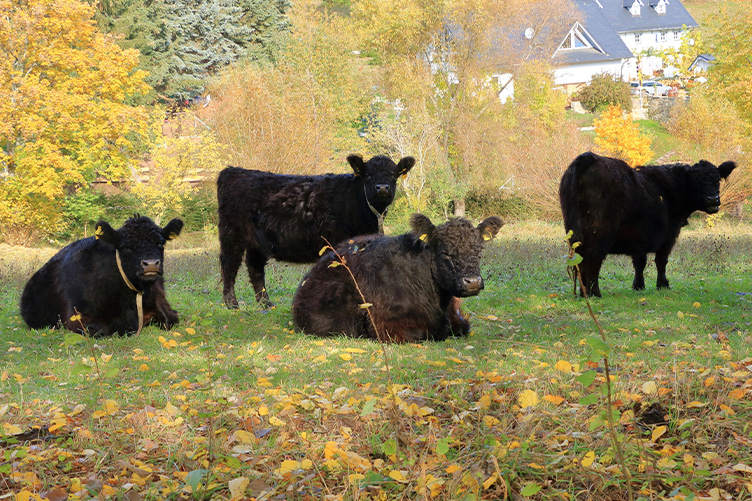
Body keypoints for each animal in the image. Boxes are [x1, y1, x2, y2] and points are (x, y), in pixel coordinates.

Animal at [20, 215, 183, 337]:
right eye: (125, 247)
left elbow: (170, 319)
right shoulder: (76, 318)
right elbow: (101, 330)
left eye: (161, 243)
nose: (150, 264)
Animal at [216, 154, 415, 308]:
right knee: (229, 265)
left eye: (393, 174)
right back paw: (231, 303)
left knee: (255, 267)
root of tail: (234, 171)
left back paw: (265, 303)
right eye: (368, 174)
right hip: (231, 235)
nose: (382, 188)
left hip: (257, 241)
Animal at [559, 151, 736, 297]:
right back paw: (593, 293)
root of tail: (589, 157)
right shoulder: (669, 235)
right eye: (695, 182)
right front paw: (663, 285)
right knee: (592, 259)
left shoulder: (640, 236)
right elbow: (661, 261)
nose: (713, 199)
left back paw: (583, 292)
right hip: (599, 231)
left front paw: (638, 286)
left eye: (717, 180)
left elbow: (640, 262)